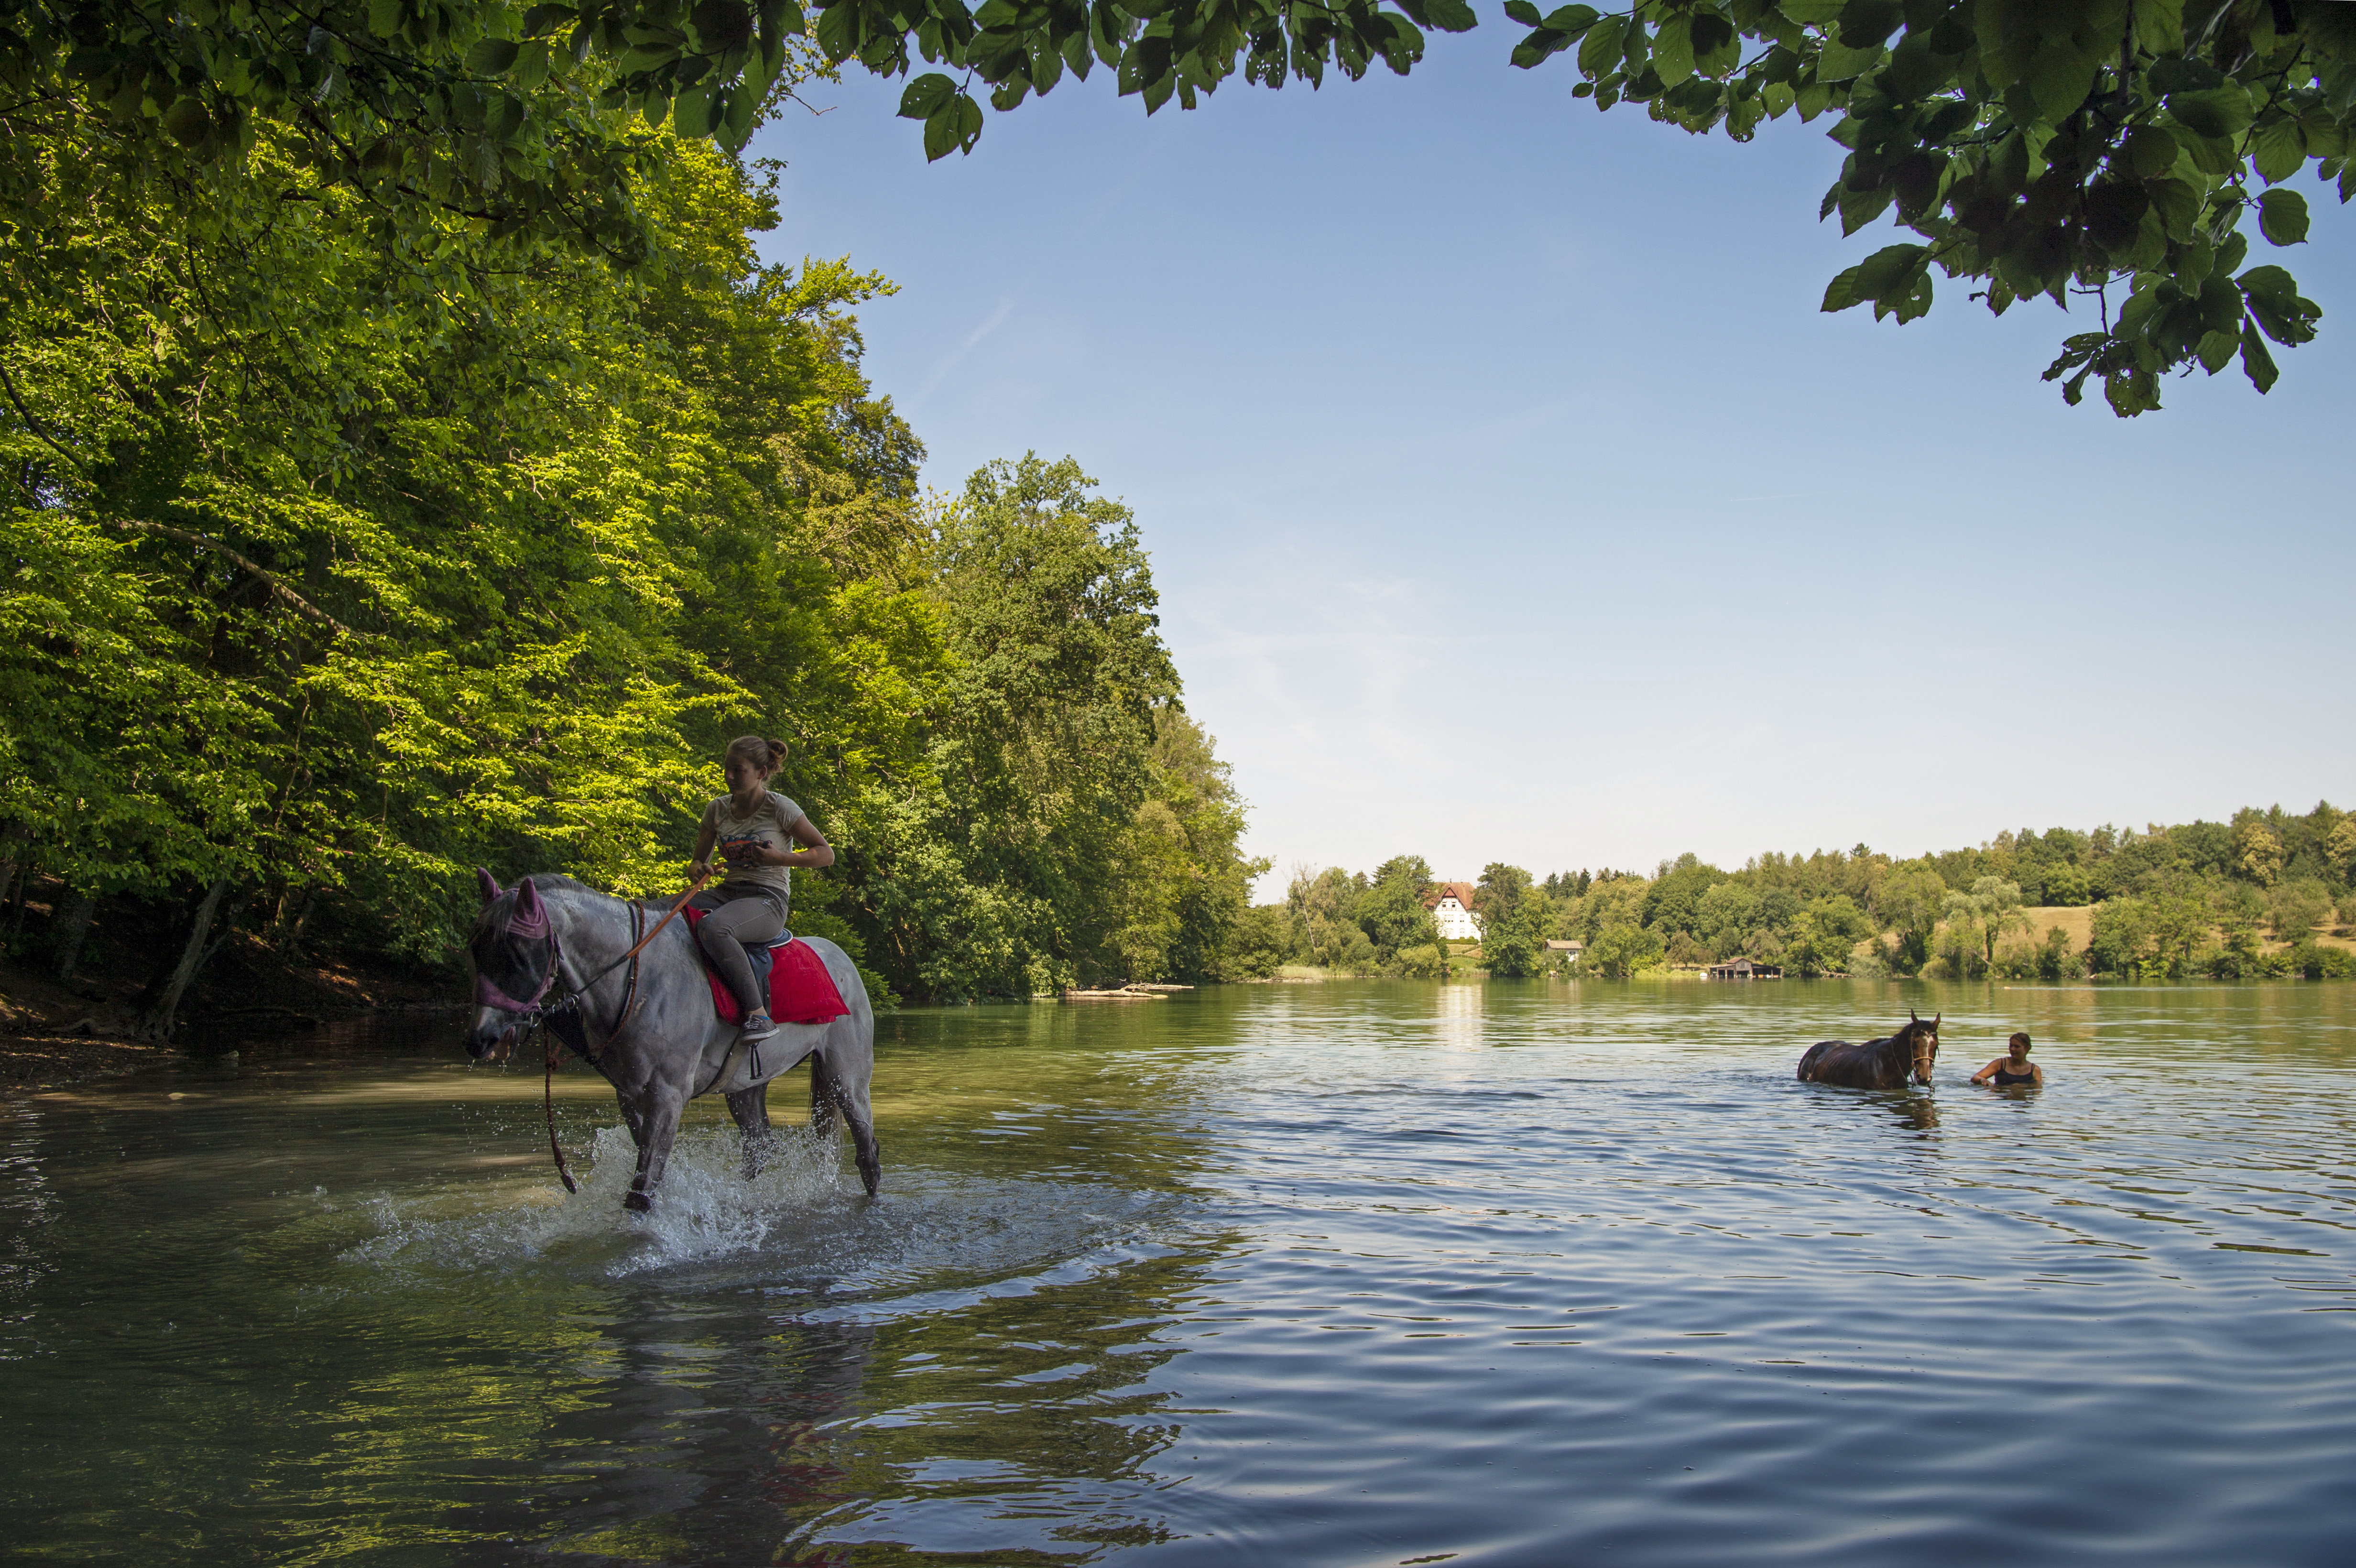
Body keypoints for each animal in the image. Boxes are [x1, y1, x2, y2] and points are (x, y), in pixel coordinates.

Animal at [461, 866, 885, 1205]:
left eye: (518, 954)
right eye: (475, 948)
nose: (482, 1040)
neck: (637, 977)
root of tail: (841, 958)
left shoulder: (667, 1096)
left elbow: (642, 1191)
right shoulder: (630, 1095)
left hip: (846, 1080)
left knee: (867, 1153)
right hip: (746, 1086)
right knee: (759, 1147)